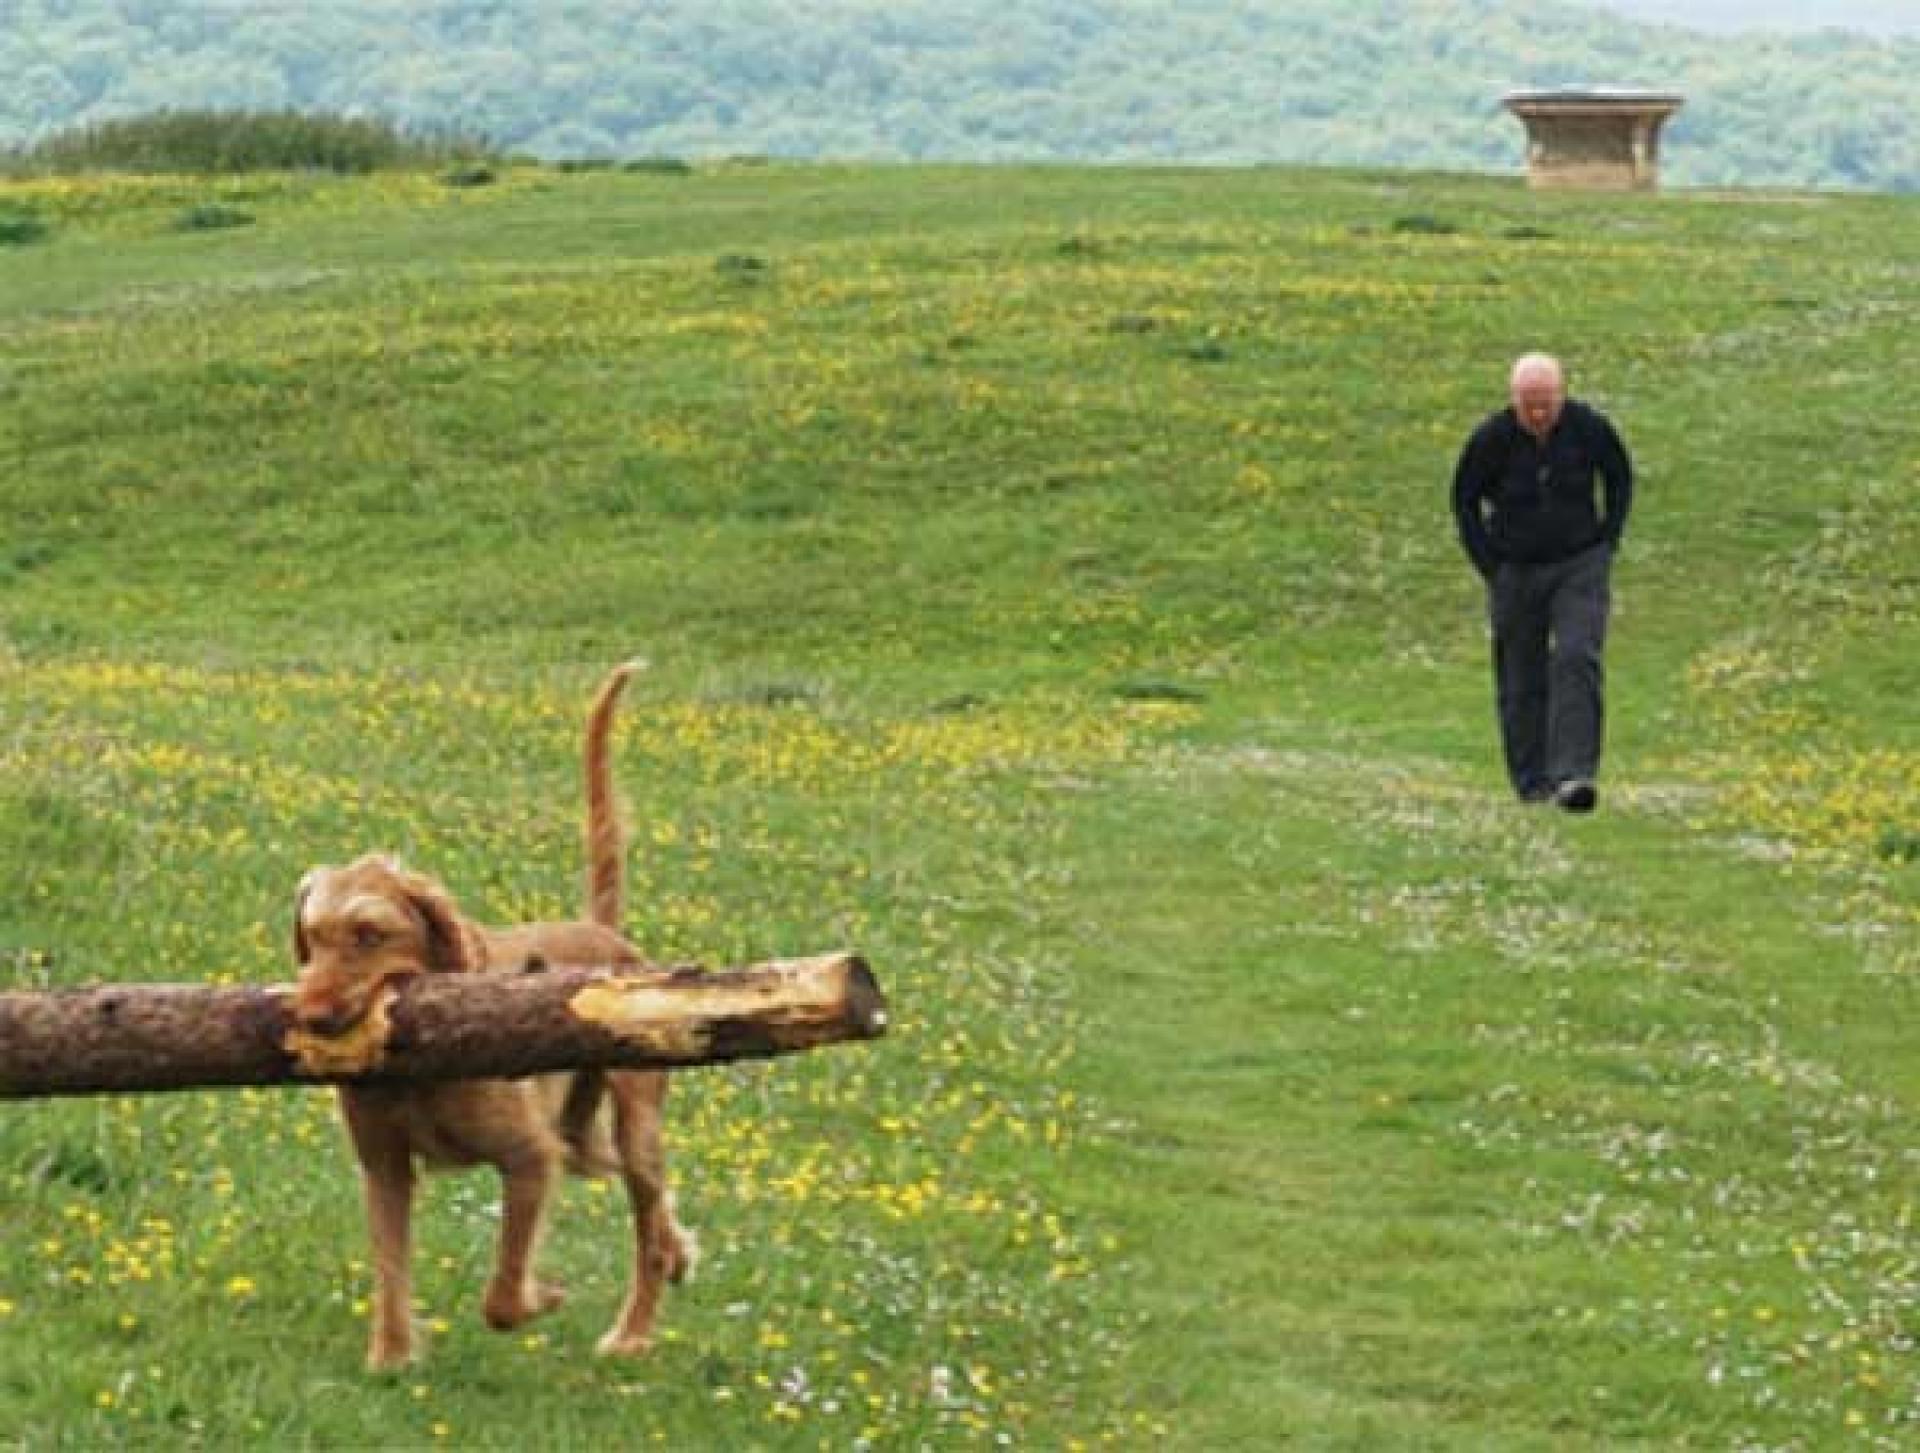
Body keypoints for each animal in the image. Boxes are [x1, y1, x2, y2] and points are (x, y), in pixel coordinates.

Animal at [288, 664, 695, 1366]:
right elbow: (391, 1273)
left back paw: (632, 1333)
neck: (417, 1071)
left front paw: (543, 1295)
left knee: (645, 1224)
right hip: (580, 1138)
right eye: (311, 938)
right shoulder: (385, 1167)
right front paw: (390, 1361)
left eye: (370, 934)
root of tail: (603, 935)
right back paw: (679, 1253)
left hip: (632, 1124)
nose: (309, 1016)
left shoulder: (528, 1157)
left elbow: (503, 1295)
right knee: (649, 1202)